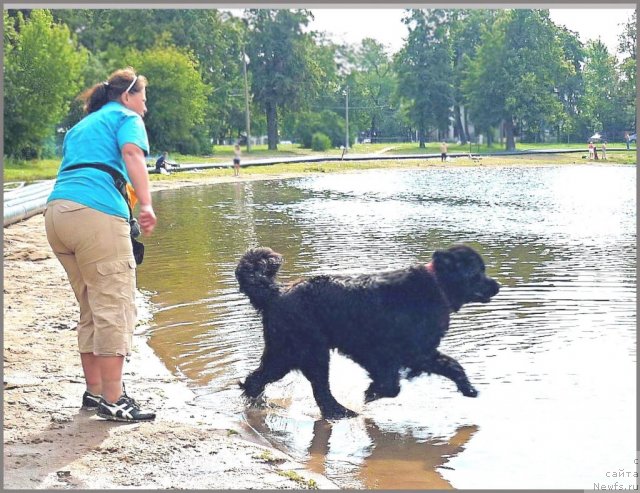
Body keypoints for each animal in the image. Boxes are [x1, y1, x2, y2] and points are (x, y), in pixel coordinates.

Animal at [236, 244, 500, 418]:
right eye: (478, 272)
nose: (497, 286)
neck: (437, 286)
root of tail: (276, 293)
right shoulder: (382, 351)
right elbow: (391, 384)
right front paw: (371, 393)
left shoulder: (419, 352)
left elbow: (452, 365)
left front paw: (468, 389)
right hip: (308, 352)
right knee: (320, 390)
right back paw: (341, 412)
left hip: (285, 354)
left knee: (258, 378)